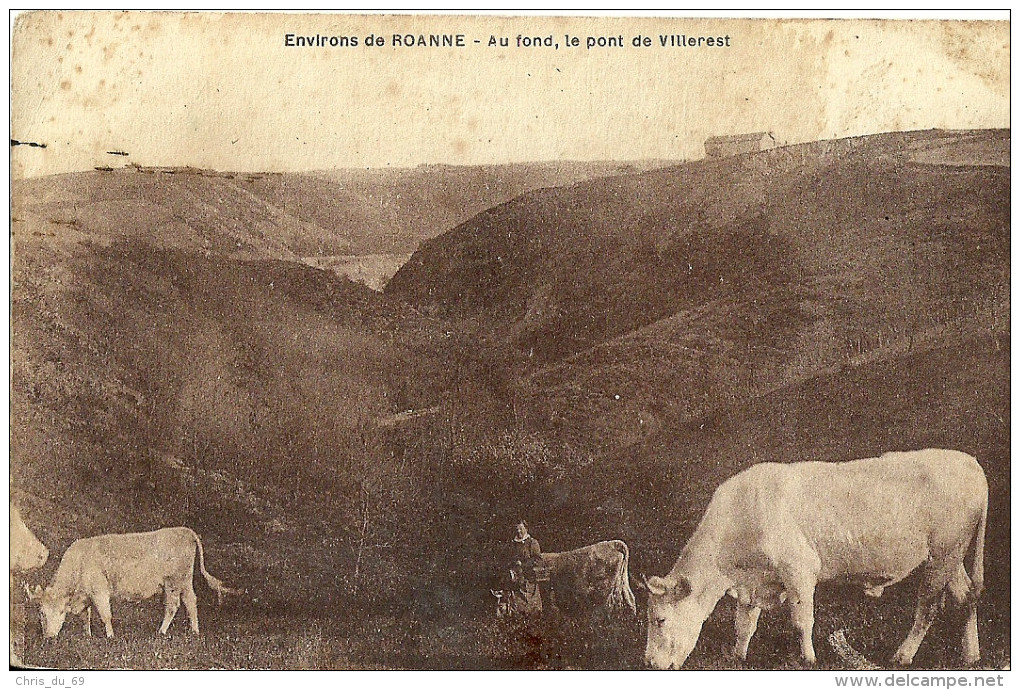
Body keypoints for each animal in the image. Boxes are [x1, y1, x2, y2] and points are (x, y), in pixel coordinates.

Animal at [27, 526, 240, 636]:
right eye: (42, 613)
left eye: (60, 612)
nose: (49, 637)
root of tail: (184, 530)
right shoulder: (87, 593)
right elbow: (85, 616)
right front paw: (87, 635)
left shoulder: (99, 590)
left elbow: (105, 615)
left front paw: (110, 637)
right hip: (185, 580)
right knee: (191, 602)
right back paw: (194, 632)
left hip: (173, 581)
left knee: (173, 606)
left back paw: (161, 632)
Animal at [644, 449, 987, 669]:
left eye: (659, 619)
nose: (649, 662)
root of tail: (970, 463)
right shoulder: (753, 583)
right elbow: (744, 624)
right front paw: (737, 657)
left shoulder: (799, 569)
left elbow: (801, 620)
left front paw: (808, 659)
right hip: (952, 555)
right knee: (967, 596)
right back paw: (970, 655)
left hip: (944, 552)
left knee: (929, 606)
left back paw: (903, 656)